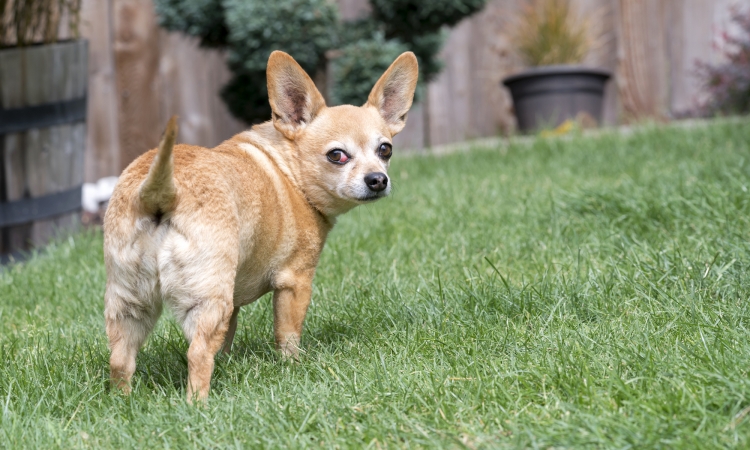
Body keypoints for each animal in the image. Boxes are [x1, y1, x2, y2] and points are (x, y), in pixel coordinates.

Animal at [103, 50, 420, 400]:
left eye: (385, 150)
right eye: (337, 156)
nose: (377, 179)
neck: (288, 169)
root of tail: (161, 193)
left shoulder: (234, 302)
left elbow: (228, 338)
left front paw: (228, 361)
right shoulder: (294, 282)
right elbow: (287, 335)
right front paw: (293, 367)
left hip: (130, 304)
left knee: (121, 359)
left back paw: (123, 401)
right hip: (206, 300)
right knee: (197, 354)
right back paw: (197, 404)